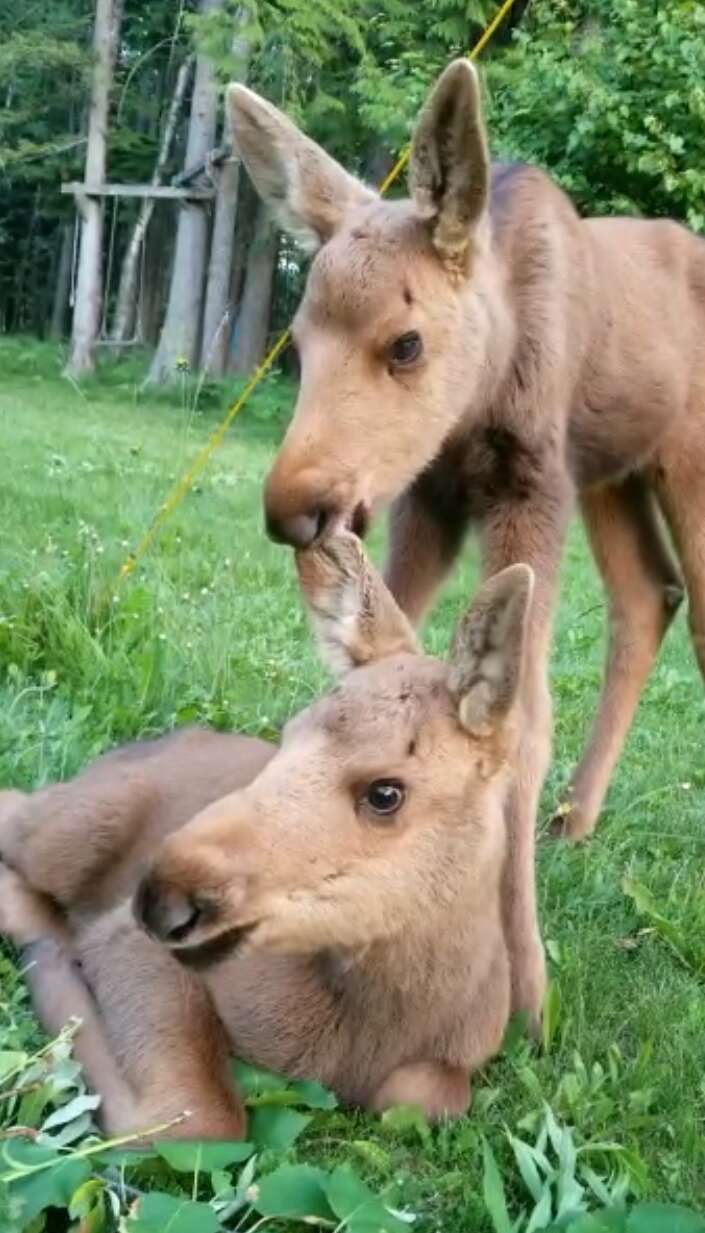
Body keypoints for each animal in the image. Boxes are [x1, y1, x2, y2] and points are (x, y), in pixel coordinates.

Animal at [0, 535, 532, 1139]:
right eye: (287, 734)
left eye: (385, 793)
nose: (162, 897)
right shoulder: (125, 937)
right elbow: (195, 1117)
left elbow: (426, 1099)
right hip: (74, 830)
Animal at [226, 55, 705, 1020]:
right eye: (297, 341)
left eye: (406, 343)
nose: (295, 506)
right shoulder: (432, 495)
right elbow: (383, 647)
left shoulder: (531, 483)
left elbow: (521, 713)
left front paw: (525, 988)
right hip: (614, 475)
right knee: (647, 595)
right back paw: (575, 820)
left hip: (681, 459)